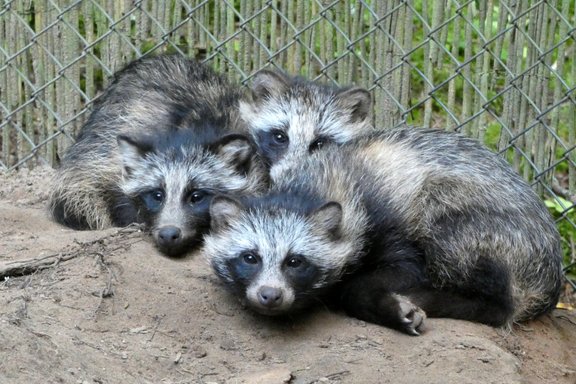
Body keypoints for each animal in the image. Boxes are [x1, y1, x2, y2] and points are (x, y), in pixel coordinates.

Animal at [205, 127, 564, 334]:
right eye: (250, 257)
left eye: (295, 261)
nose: (270, 295)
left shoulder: (386, 221)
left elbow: (404, 270)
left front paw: (394, 303)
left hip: (482, 226)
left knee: (498, 299)